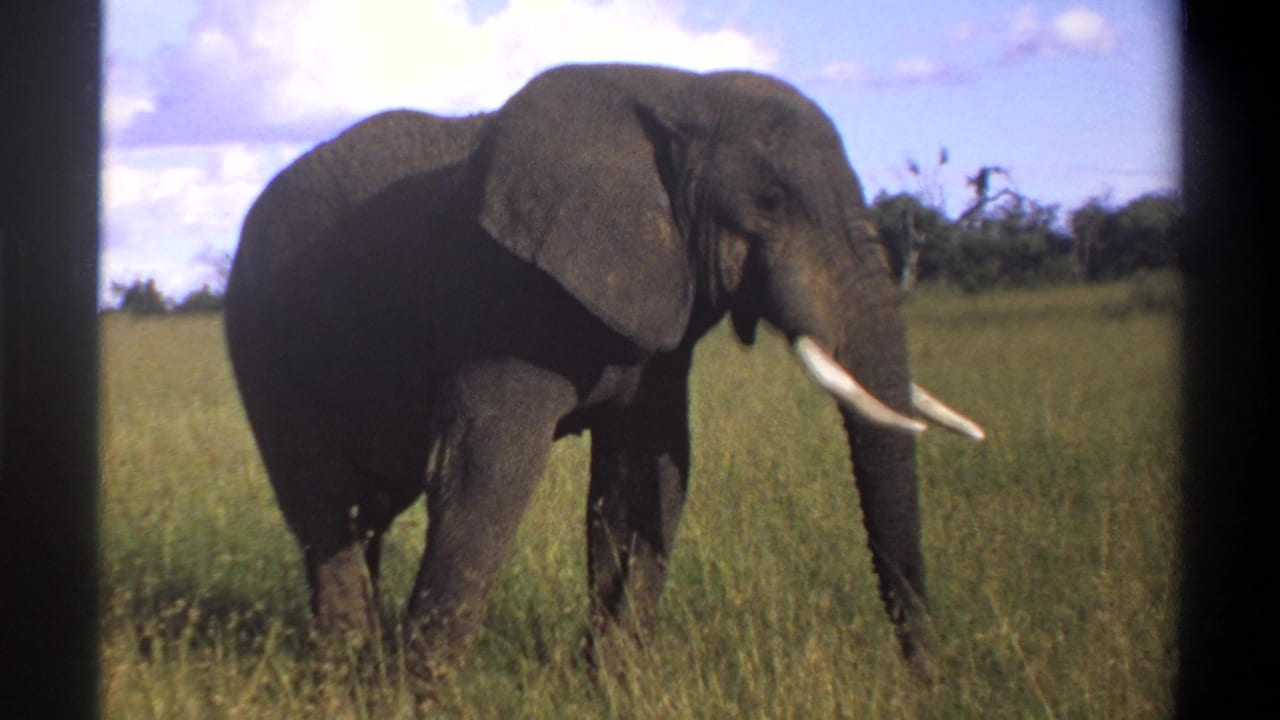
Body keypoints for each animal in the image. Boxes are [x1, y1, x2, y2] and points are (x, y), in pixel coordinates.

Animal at [225, 63, 985, 684]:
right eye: (770, 203)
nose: (929, 678)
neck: (683, 93)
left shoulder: (657, 318)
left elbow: (647, 474)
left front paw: (616, 687)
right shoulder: (502, 301)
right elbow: (486, 470)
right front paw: (417, 695)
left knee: (368, 511)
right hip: (263, 344)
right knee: (325, 503)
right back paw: (343, 671)